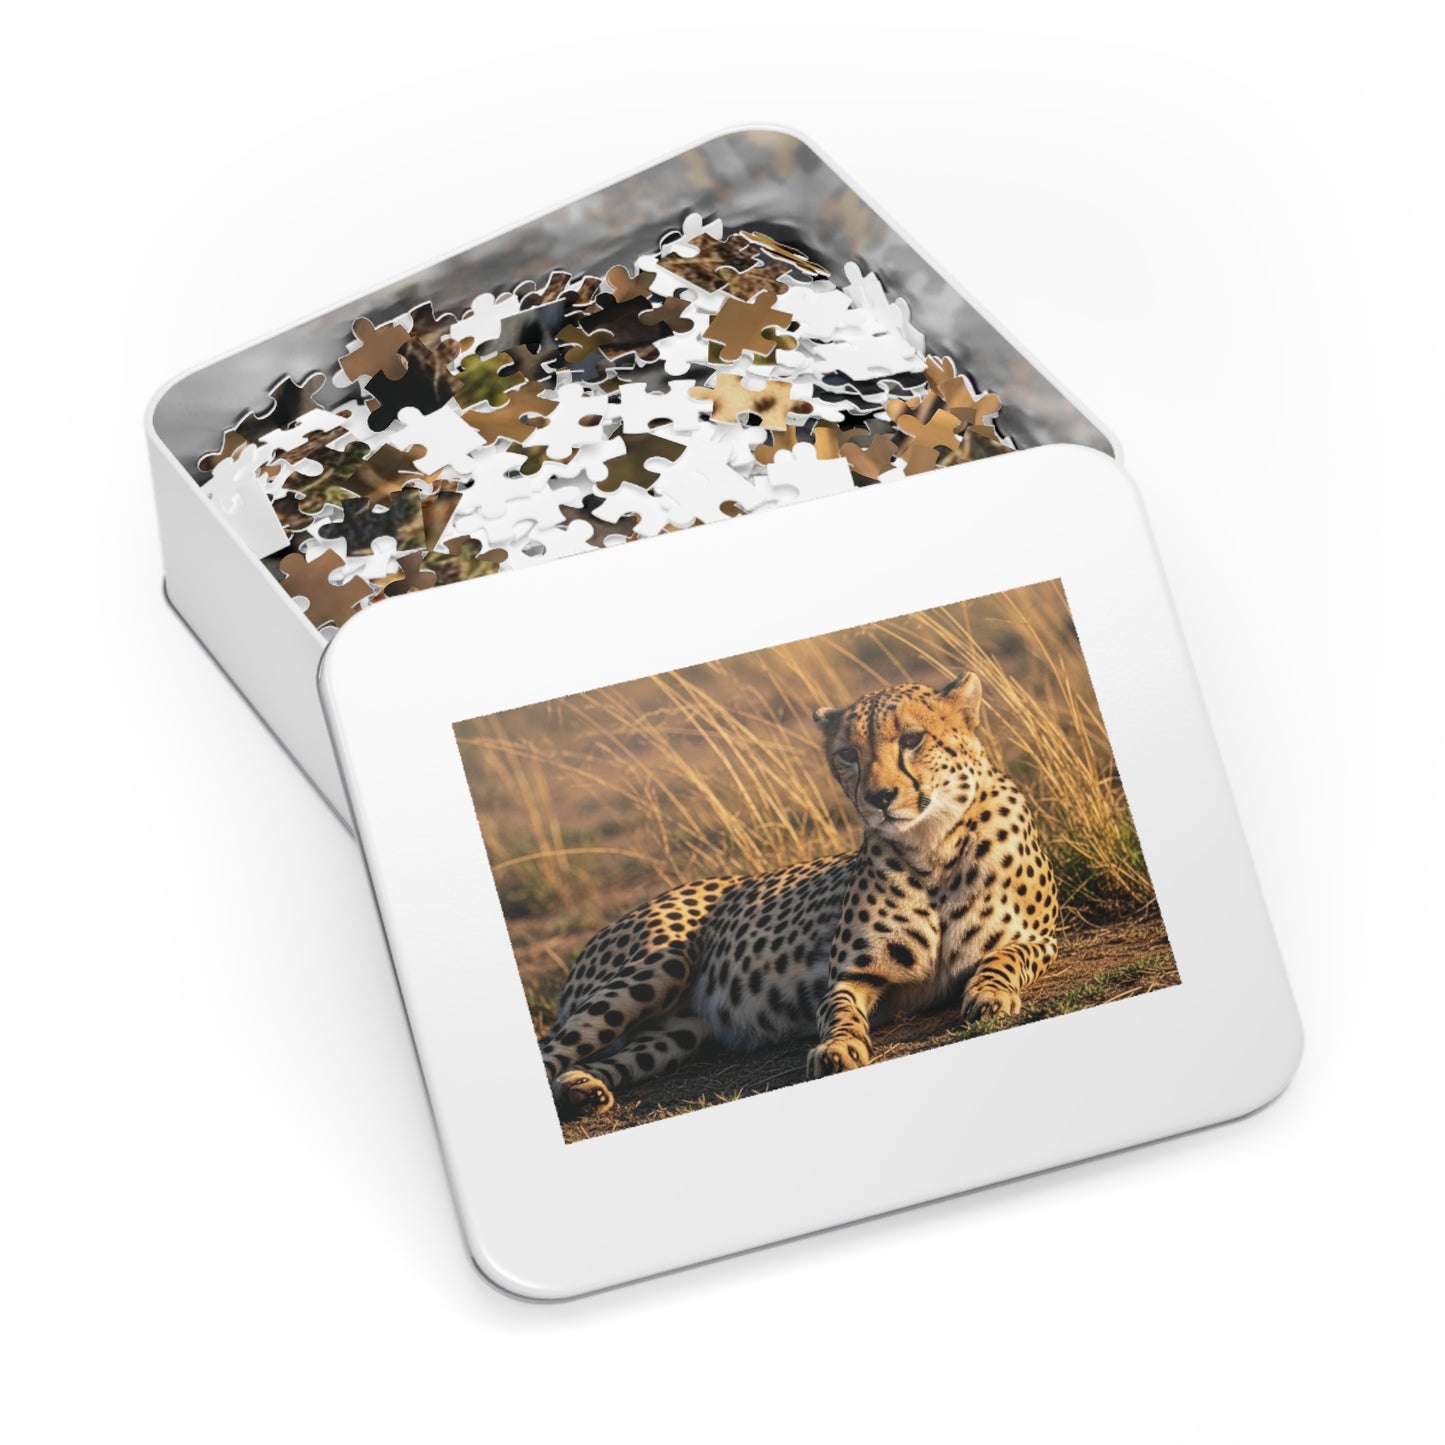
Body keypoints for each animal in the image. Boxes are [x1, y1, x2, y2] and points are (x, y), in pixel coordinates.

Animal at [537, 671, 1059, 1120]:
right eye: (847, 753)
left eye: (913, 739)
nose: (879, 797)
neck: (933, 846)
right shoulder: (852, 974)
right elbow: (840, 1011)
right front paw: (837, 1048)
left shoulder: (1042, 939)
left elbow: (1004, 957)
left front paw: (989, 993)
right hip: (659, 966)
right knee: (553, 1049)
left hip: (678, 1033)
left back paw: (582, 1088)